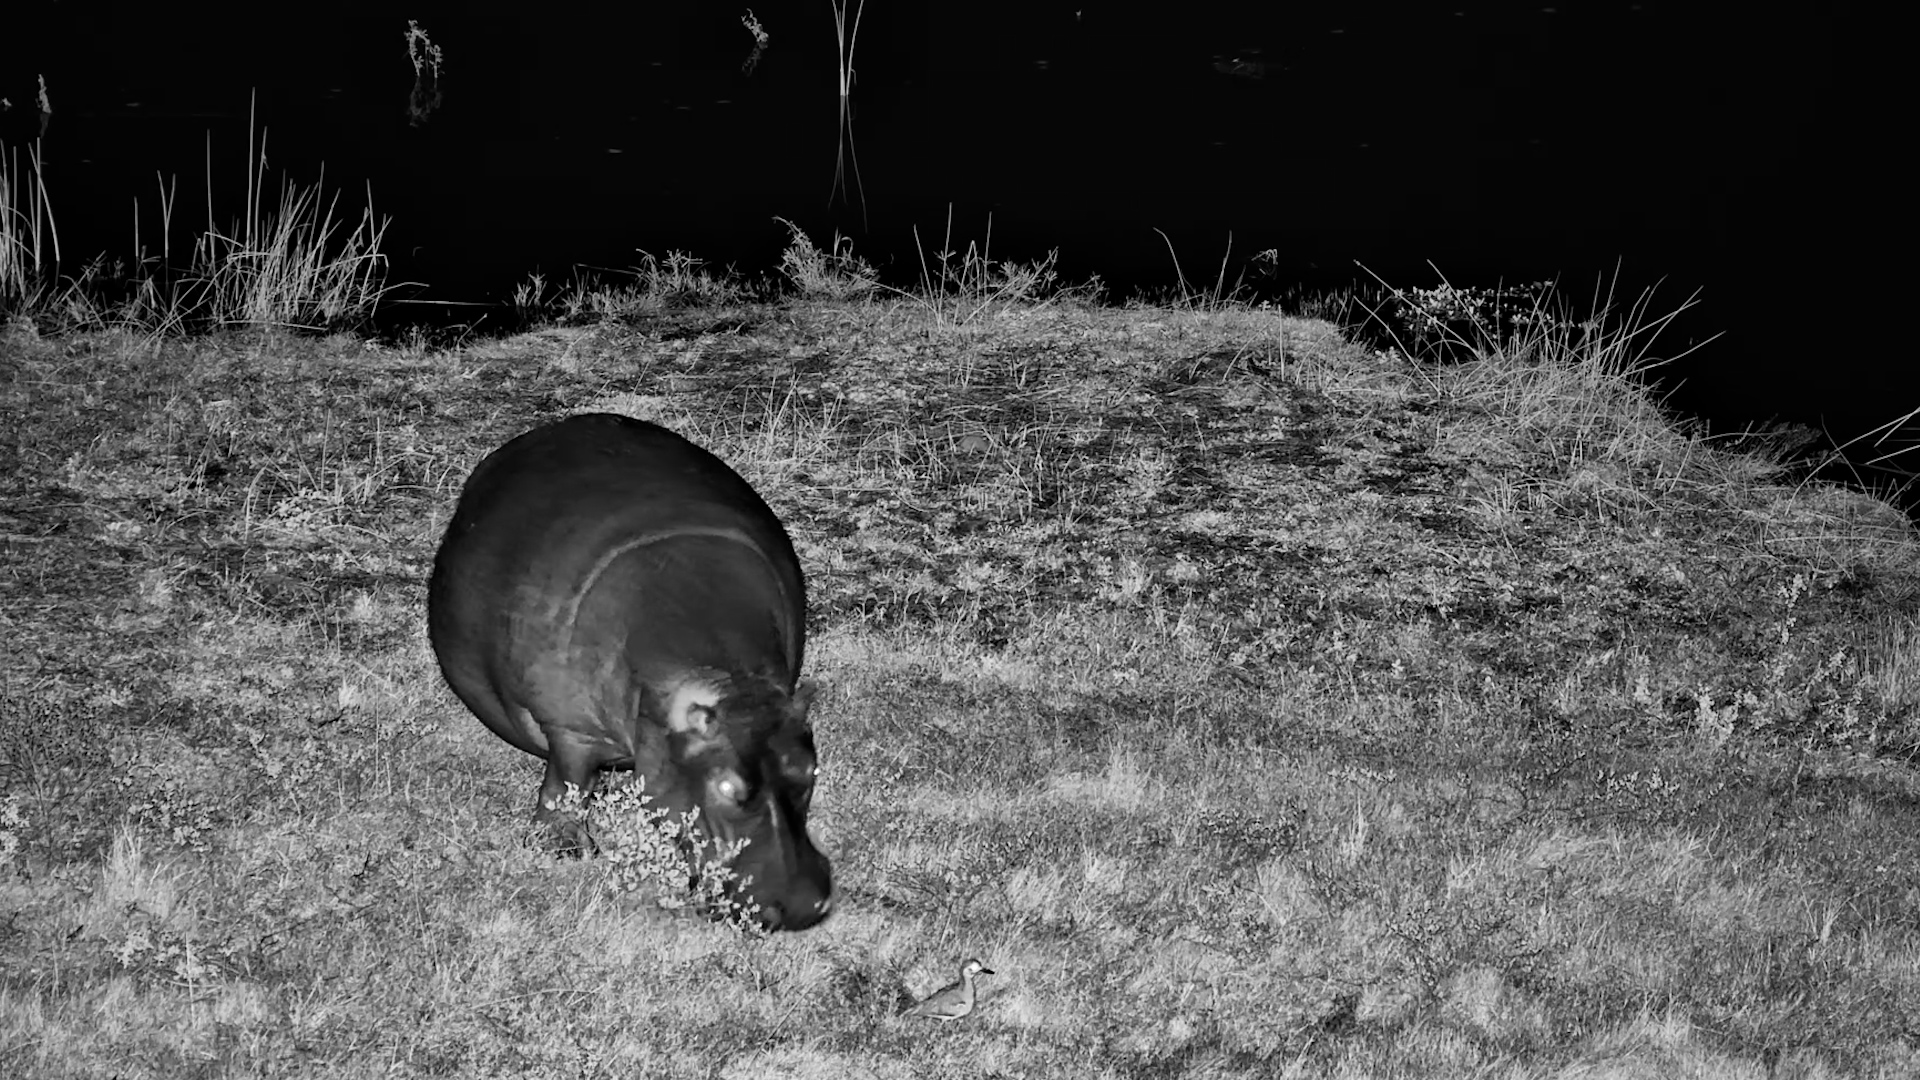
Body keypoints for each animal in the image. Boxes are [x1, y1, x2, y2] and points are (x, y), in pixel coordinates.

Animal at [427, 413, 832, 931]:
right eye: (725, 785)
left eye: (810, 768)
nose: (802, 904)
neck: (729, 683)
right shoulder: (569, 728)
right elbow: (567, 781)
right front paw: (564, 849)